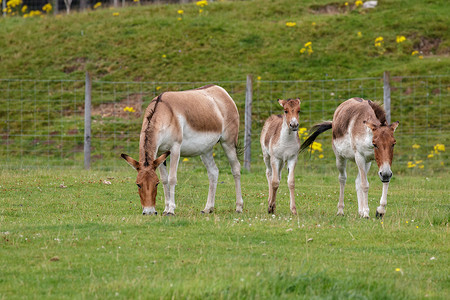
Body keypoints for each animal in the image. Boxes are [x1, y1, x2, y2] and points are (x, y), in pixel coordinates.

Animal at [120, 84, 243, 216]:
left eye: (155, 183)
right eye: (138, 184)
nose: (149, 212)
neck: (164, 113)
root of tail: (220, 90)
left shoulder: (175, 148)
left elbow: (172, 178)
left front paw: (171, 210)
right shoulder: (160, 153)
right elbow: (165, 179)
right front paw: (166, 209)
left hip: (228, 143)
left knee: (236, 168)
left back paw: (239, 207)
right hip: (206, 149)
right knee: (213, 172)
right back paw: (208, 208)